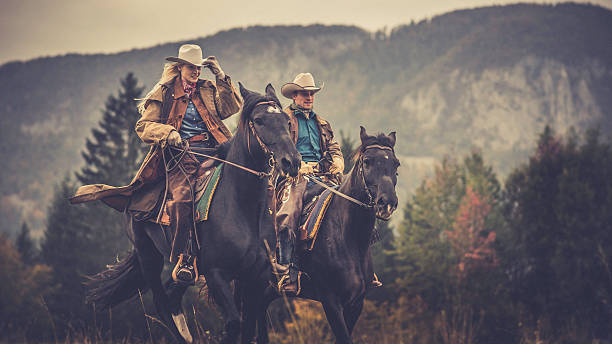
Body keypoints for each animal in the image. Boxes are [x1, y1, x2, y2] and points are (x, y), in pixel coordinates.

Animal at [86, 84, 302, 344]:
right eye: (258, 120)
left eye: (287, 121)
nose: (292, 161)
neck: (242, 208)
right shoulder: (216, 274)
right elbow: (234, 324)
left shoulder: (255, 277)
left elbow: (250, 326)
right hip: (148, 255)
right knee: (161, 303)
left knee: (172, 296)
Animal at [246, 127, 400, 344]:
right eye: (367, 161)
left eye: (396, 164)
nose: (387, 203)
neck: (347, 238)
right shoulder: (331, 301)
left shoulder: (356, 303)